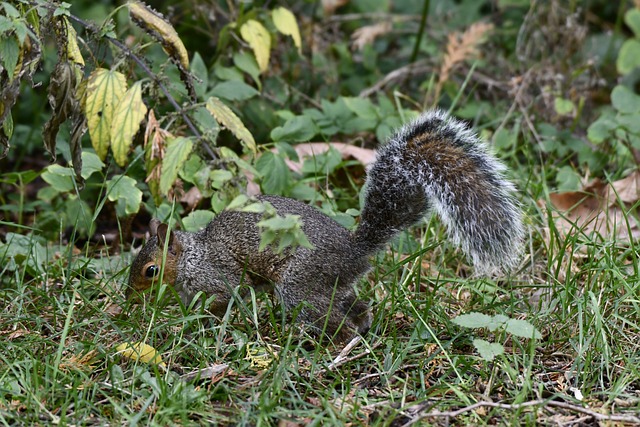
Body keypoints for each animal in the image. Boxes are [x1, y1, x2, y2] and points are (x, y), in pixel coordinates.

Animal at [126, 109, 524, 342]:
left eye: (150, 270)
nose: (129, 297)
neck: (192, 257)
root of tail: (355, 250)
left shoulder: (219, 277)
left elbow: (225, 298)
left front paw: (203, 324)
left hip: (300, 284)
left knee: (335, 319)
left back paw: (327, 340)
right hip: (330, 286)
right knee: (355, 308)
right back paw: (357, 329)